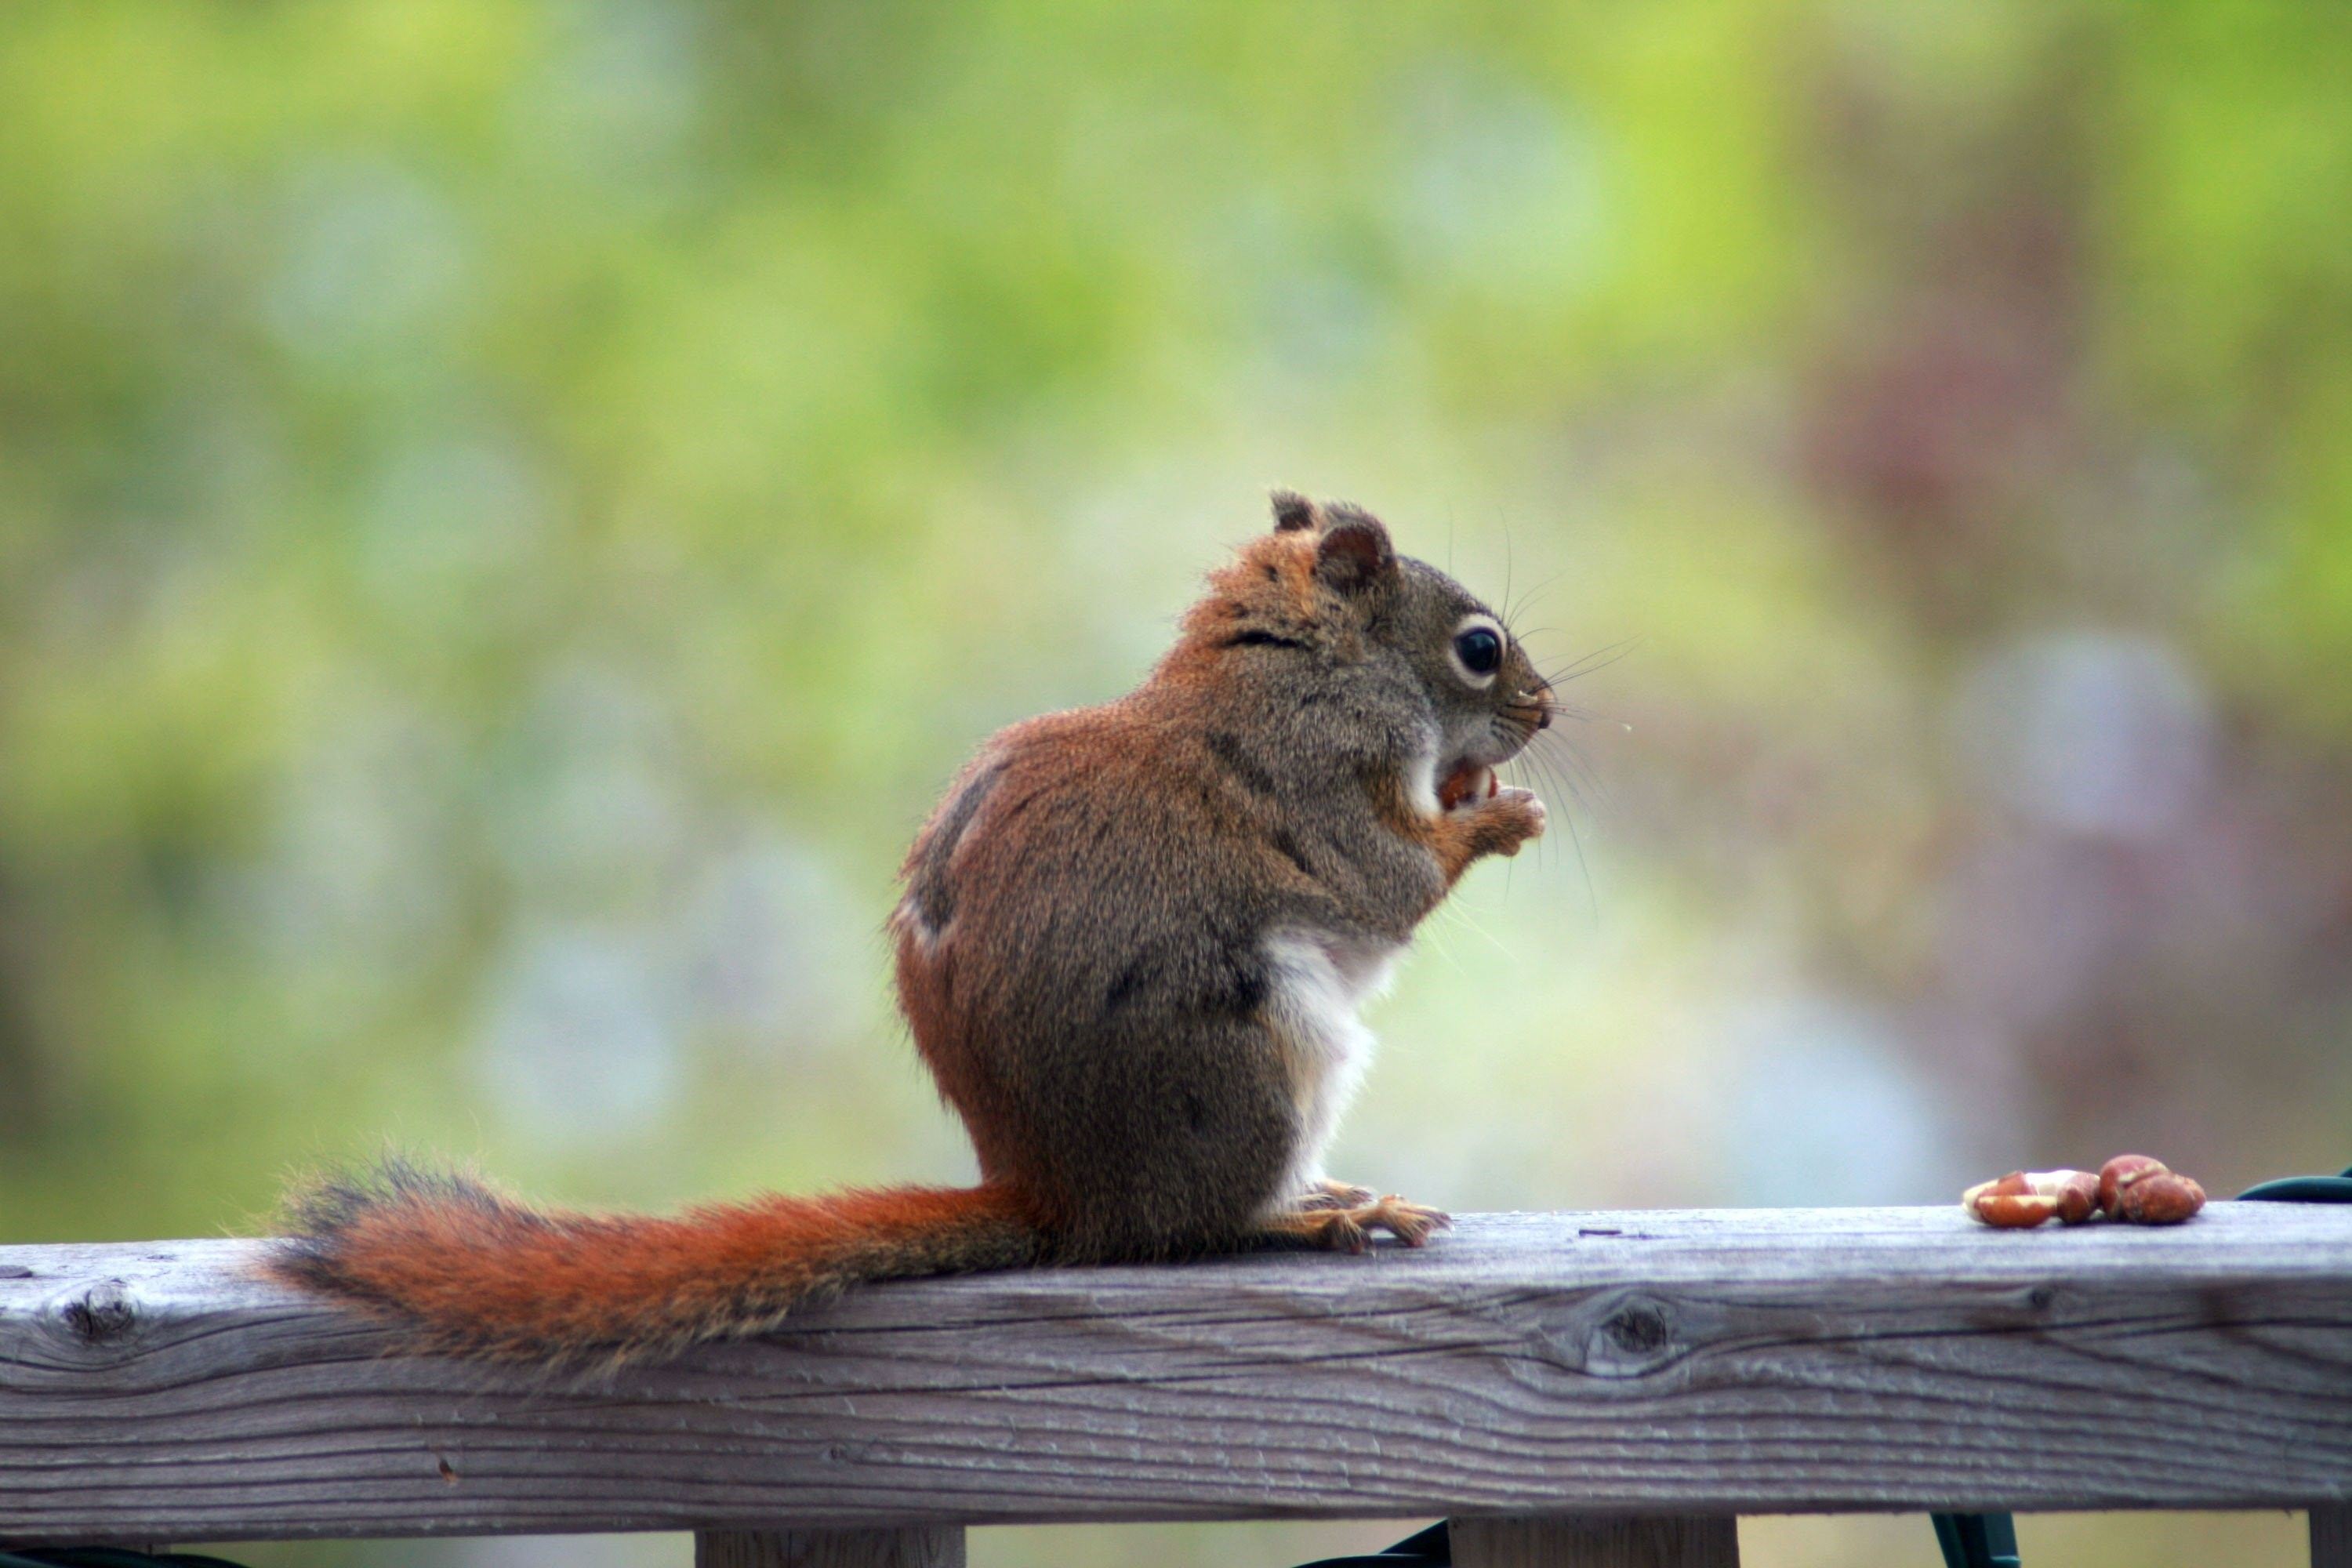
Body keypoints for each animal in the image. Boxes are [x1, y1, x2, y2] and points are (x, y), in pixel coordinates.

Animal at [275, 493, 1552, 1363]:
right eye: (1478, 646)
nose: (1546, 708)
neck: (1299, 666)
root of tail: (1060, 1197)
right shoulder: (1317, 784)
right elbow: (1392, 884)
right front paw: (1496, 816)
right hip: (1253, 1060)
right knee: (1202, 1224)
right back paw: (1319, 1215)